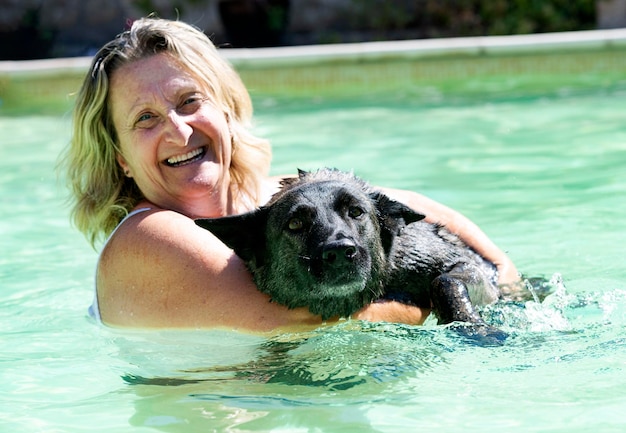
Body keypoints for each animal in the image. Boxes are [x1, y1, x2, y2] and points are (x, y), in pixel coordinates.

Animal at [195, 167, 508, 330]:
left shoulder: (461, 264)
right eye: (295, 223)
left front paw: (474, 327)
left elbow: (445, 281)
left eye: (356, 211)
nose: (340, 252)